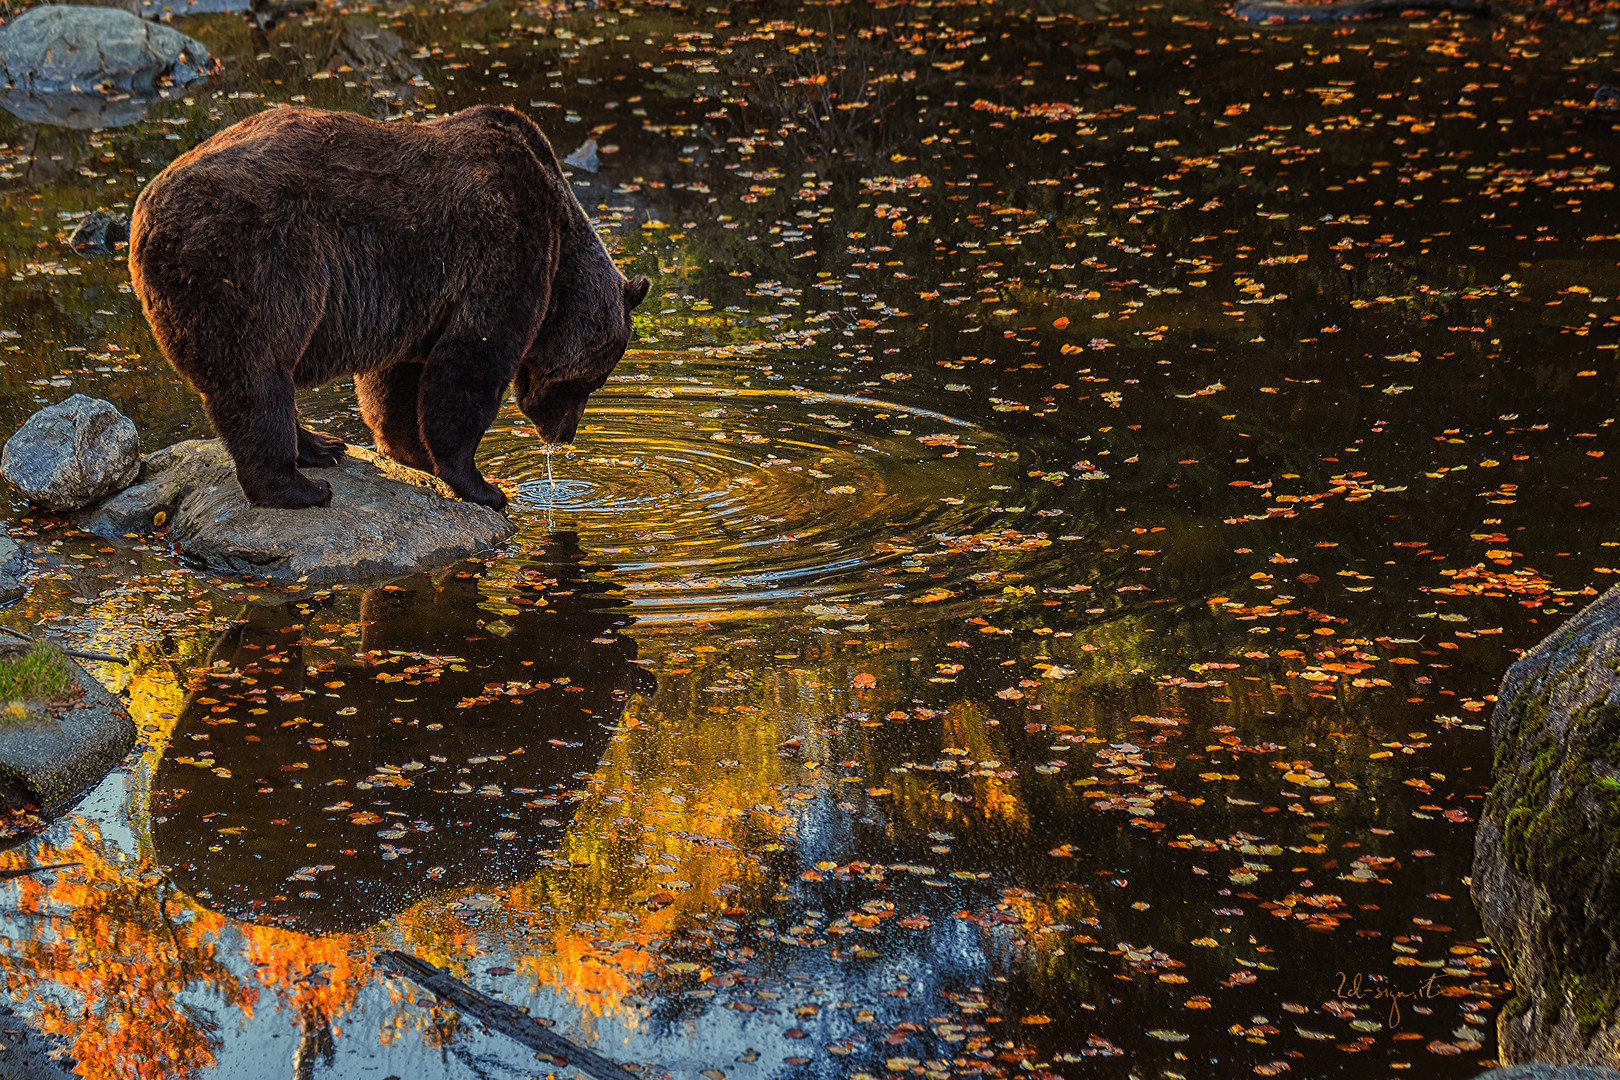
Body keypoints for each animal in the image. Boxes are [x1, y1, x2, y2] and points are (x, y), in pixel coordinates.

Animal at [127, 105, 644, 511]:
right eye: (593, 381)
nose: (565, 435)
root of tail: (145, 218)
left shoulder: (413, 299)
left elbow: (396, 380)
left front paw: (411, 452)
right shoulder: (507, 244)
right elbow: (472, 360)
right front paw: (484, 487)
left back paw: (323, 445)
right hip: (252, 262)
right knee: (256, 376)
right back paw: (301, 486)